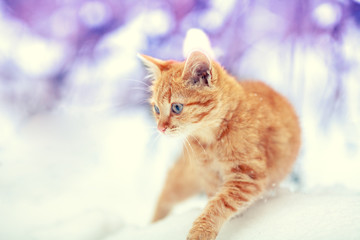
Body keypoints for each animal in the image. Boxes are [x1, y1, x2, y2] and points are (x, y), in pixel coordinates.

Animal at [139, 49, 300, 240]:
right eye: (156, 109)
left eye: (176, 107)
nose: (160, 128)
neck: (212, 141)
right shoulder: (208, 175)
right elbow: (214, 197)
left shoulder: (248, 176)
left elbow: (220, 203)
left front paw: (201, 230)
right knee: (165, 195)